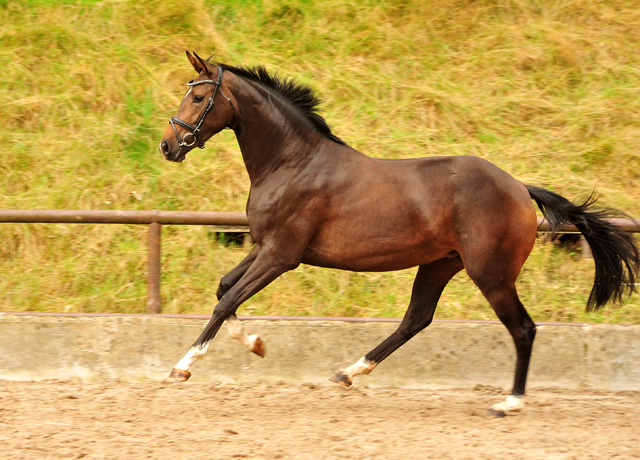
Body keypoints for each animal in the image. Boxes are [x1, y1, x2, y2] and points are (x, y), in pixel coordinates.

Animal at [156, 52, 640, 416]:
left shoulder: (282, 254)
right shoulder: (265, 246)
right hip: (440, 264)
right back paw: (348, 372)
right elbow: (225, 289)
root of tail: (520, 188)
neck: (292, 162)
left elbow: (226, 302)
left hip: (491, 274)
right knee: (416, 319)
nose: (167, 146)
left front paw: (182, 366)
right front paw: (256, 344)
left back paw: (510, 403)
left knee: (522, 329)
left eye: (198, 96)